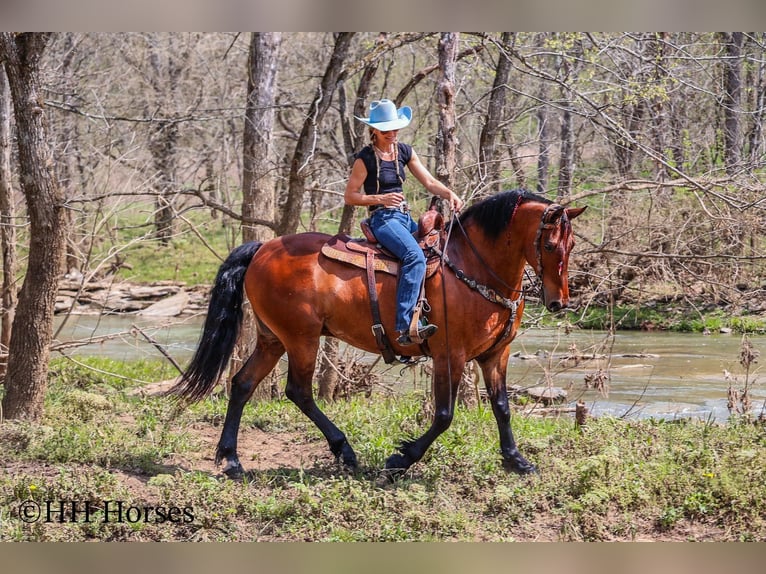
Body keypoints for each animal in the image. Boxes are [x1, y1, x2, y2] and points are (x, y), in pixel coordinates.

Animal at [169, 189, 586, 478]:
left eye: (572, 244)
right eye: (550, 244)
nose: (559, 302)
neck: (473, 268)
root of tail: (261, 249)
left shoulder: (494, 355)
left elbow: (502, 407)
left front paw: (516, 460)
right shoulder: (449, 355)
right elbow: (444, 415)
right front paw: (401, 459)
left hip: (272, 339)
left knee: (242, 384)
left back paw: (232, 459)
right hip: (301, 338)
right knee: (298, 391)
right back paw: (344, 450)